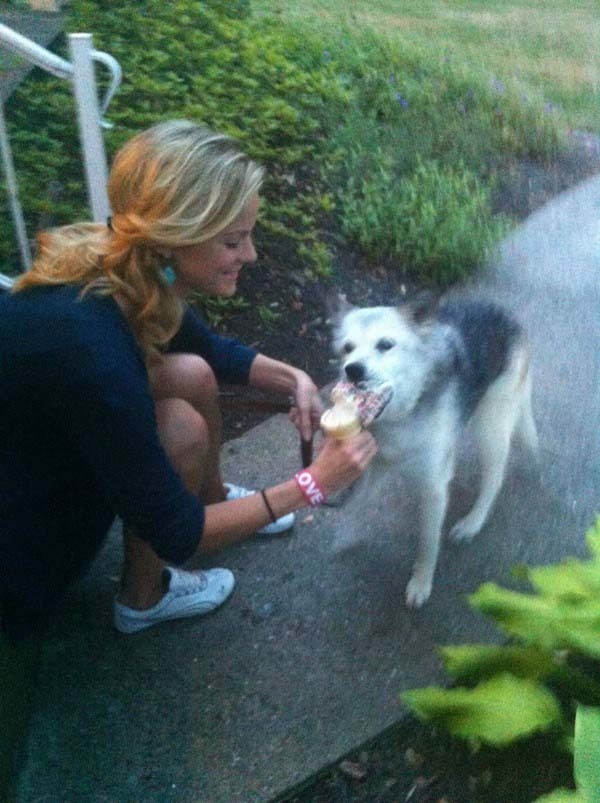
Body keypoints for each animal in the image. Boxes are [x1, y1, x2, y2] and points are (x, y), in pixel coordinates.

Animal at [332, 296, 540, 608]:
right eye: (347, 348)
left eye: (385, 344)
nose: (352, 369)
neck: (406, 411)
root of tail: (503, 313)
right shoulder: (376, 464)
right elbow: (357, 503)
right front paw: (345, 534)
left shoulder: (432, 488)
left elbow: (428, 542)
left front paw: (421, 583)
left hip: (490, 426)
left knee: (494, 478)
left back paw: (472, 522)